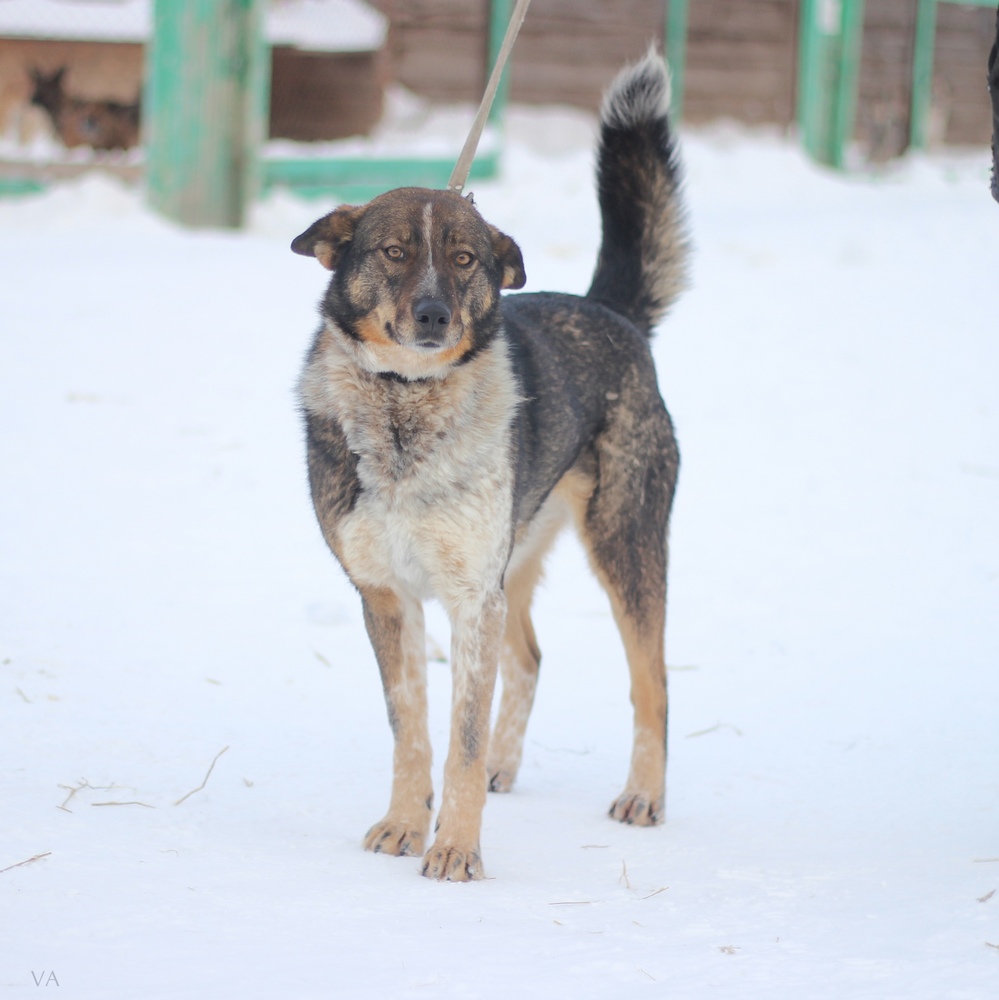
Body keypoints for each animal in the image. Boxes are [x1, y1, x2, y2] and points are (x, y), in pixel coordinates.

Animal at [292, 52, 692, 884]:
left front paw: (454, 848)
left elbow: (461, 741)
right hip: (514, 556)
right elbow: (412, 729)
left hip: (623, 544)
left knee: (652, 681)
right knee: (531, 658)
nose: (434, 314)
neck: (403, 408)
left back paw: (642, 795)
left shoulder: (470, 597)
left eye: (464, 258)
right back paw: (509, 769)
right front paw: (404, 824)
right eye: (392, 252)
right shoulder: (388, 595)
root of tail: (612, 313)